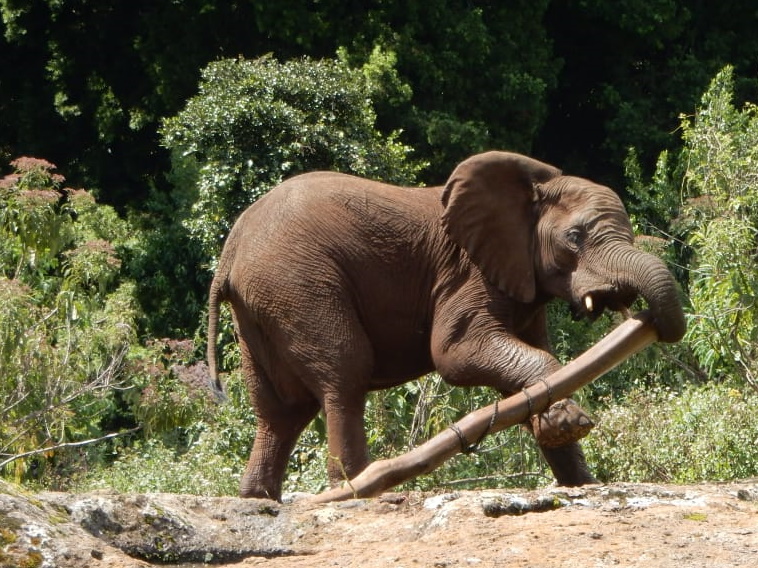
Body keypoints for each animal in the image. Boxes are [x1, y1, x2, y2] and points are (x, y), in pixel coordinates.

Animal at [207, 151, 686, 501]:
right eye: (575, 238)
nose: (646, 319)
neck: (530, 190)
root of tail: (229, 253)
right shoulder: (466, 271)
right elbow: (457, 354)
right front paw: (567, 421)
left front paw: (579, 483)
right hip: (298, 283)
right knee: (344, 376)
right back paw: (359, 491)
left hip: (261, 306)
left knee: (280, 410)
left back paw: (259, 500)